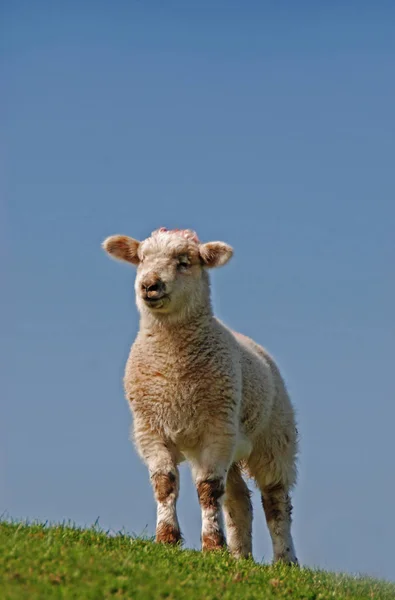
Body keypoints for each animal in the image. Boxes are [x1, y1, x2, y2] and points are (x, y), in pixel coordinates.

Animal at [103, 227, 298, 564]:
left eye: (184, 262)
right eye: (141, 258)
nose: (149, 285)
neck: (172, 373)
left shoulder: (215, 430)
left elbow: (207, 490)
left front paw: (212, 545)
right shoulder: (149, 429)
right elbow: (165, 484)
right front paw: (167, 538)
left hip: (274, 437)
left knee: (275, 500)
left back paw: (284, 560)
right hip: (232, 442)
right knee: (238, 500)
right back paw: (240, 556)